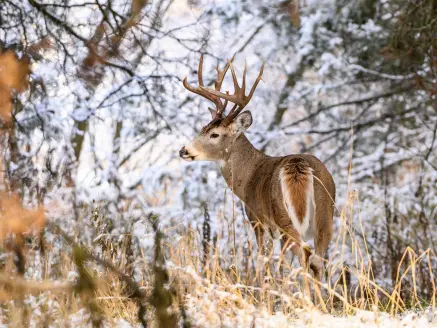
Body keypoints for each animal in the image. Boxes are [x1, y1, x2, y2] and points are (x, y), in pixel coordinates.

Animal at [179, 54, 336, 280]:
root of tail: (299, 165)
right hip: (326, 215)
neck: (247, 176)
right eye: (203, 128)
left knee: (304, 256)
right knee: (317, 261)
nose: (183, 150)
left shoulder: (258, 221)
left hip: (283, 217)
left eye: (214, 134)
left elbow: (264, 264)